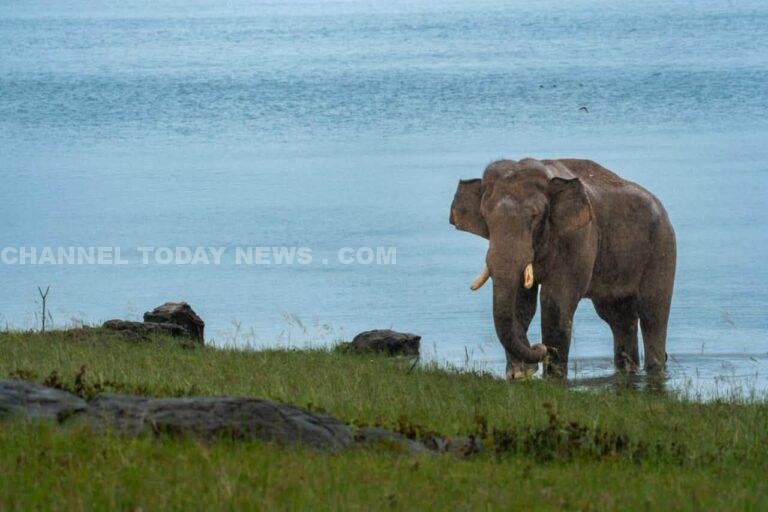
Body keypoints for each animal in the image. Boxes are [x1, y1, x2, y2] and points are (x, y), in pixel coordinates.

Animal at [449, 158, 676, 379]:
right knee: (617, 317)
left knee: (652, 314)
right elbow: (521, 304)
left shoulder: (578, 237)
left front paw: (553, 376)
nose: (538, 348)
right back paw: (628, 370)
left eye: (535, 217)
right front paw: (518, 374)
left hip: (662, 248)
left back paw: (654, 370)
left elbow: (555, 301)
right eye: (486, 217)